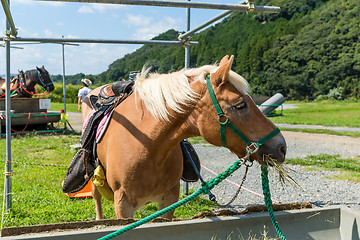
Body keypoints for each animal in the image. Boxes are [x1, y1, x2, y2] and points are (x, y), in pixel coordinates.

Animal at [81, 55, 286, 220]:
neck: (148, 146)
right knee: (96, 195)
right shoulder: (123, 204)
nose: (281, 147)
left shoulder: (169, 200)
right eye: (240, 105)